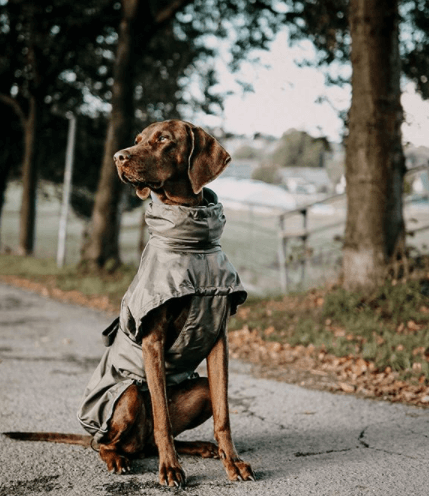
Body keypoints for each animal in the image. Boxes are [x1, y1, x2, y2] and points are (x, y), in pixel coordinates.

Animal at [5, 120, 254, 488]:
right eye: (137, 140)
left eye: (163, 139)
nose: (118, 156)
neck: (190, 243)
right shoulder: (153, 338)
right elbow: (163, 418)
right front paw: (171, 469)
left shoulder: (218, 339)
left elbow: (223, 414)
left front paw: (232, 462)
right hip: (129, 395)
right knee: (106, 443)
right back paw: (119, 459)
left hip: (199, 390)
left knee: (154, 437)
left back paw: (199, 447)